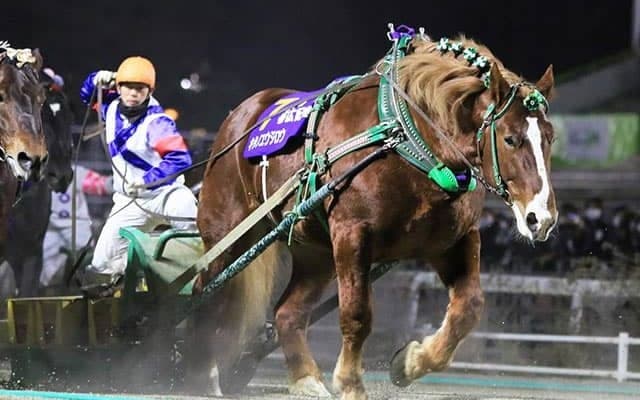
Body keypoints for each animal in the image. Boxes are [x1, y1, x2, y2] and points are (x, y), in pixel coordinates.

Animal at [194, 29, 557, 399]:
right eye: (510, 139)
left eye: (550, 138)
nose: (540, 217)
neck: (406, 139)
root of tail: (240, 116)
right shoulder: (352, 233)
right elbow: (357, 313)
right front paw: (350, 383)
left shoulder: (454, 240)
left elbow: (468, 308)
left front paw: (410, 362)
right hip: (226, 235)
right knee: (206, 295)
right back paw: (202, 373)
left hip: (316, 253)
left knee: (287, 313)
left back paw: (306, 379)